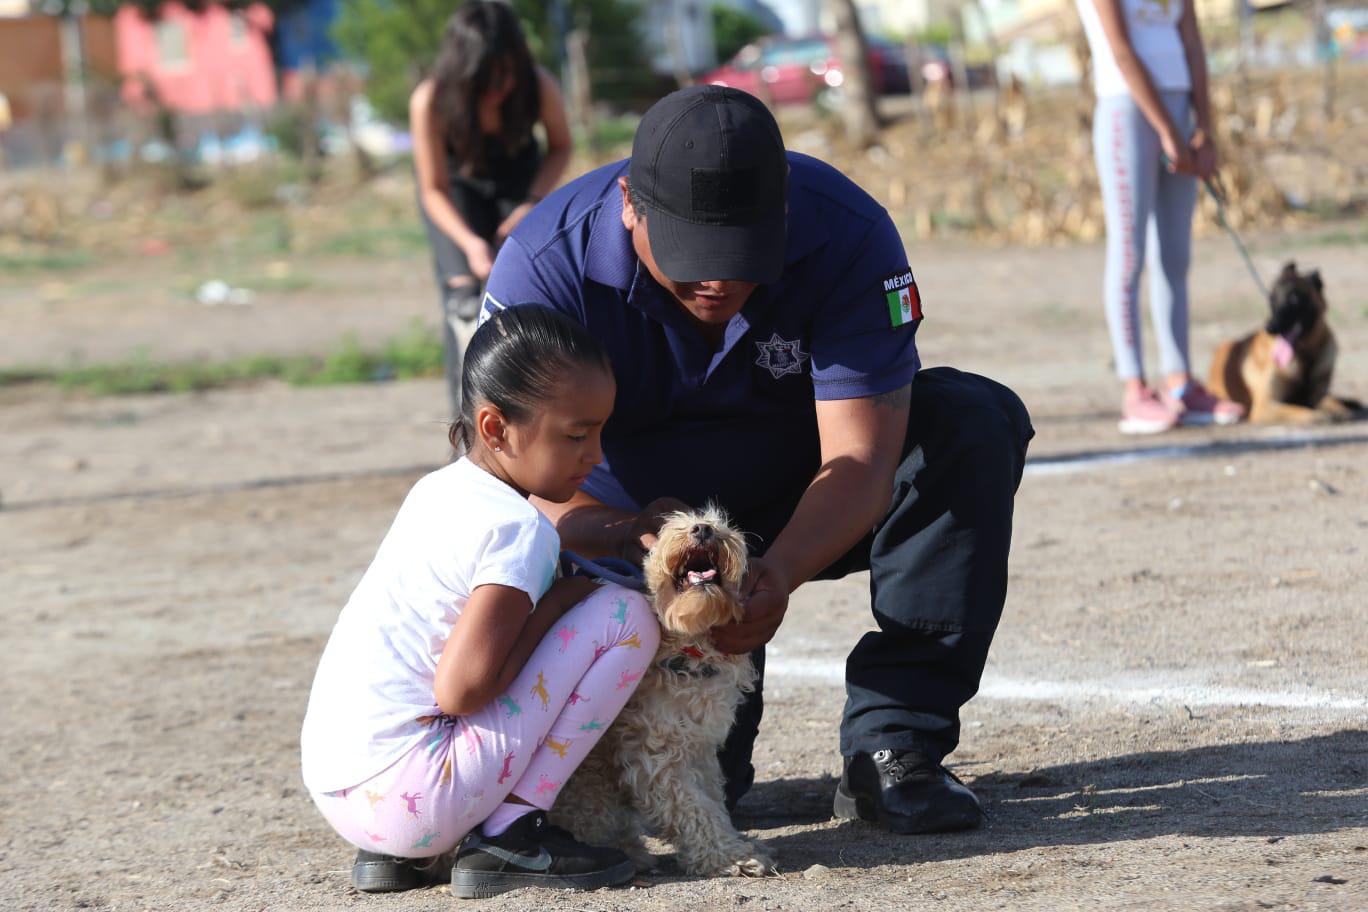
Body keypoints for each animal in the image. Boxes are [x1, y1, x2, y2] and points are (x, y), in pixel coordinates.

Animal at [549, 505, 777, 875]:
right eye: (661, 528)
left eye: (722, 522)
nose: (702, 529)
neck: (689, 648)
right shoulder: (655, 754)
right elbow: (692, 808)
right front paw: (731, 856)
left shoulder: (699, 747)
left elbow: (711, 799)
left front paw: (736, 844)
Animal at [1209, 259, 1357, 423]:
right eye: (1271, 300)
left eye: (1294, 298)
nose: (1270, 327)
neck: (1305, 356)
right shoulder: (1265, 406)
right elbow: (1297, 409)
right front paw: (1315, 414)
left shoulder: (1317, 395)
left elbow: (1330, 400)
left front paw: (1340, 409)